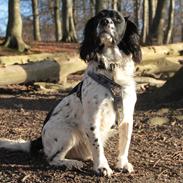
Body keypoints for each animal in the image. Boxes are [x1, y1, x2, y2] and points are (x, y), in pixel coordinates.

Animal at [0, 9, 142, 177]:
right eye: (99, 17)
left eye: (117, 19)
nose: (105, 22)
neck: (111, 69)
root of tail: (40, 139)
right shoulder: (92, 118)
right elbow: (97, 145)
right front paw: (102, 167)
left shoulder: (127, 117)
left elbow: (125, 144)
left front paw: (123, 163)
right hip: (68, 133)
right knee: (53, 159)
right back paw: (71, 163)